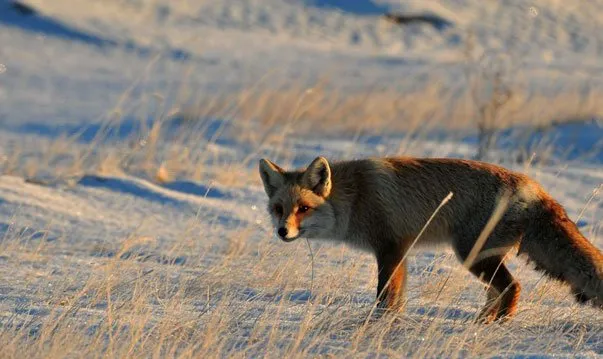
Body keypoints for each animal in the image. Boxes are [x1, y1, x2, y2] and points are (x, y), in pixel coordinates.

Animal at [258, 155, 603, 324]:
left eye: (303, 209)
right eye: (279, 209)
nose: (282, 232)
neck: (353, 198)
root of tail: (536, 188)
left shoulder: (389, 248)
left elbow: (385, 295)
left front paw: (379, 323)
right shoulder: (400, 250)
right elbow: (396, 297)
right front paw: (391, 323)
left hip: (472, 255)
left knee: (512, 287)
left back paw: (498, 326)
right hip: (481, 257)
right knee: (497, 292)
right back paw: (481, 322)